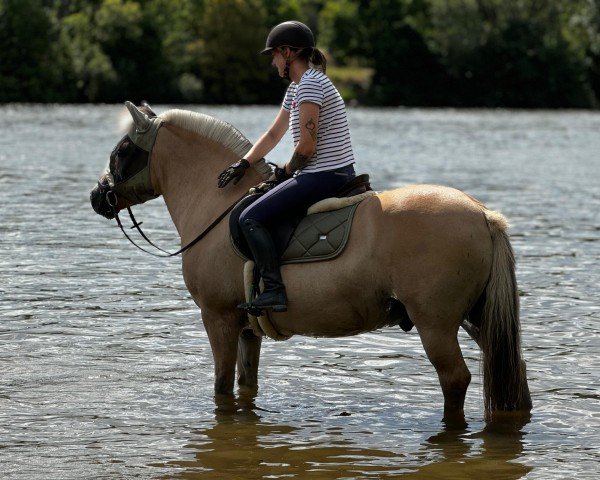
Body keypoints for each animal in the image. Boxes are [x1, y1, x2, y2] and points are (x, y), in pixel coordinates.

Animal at [91, 103, 532, 422]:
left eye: (123, 151)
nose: (98, 197)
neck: (218, 205)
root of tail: (483, 215)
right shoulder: (248, 329)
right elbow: (246, 384)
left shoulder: (218, 318)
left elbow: (221, 385)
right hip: (476, 318)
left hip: (436, 324)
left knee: (455, 379)